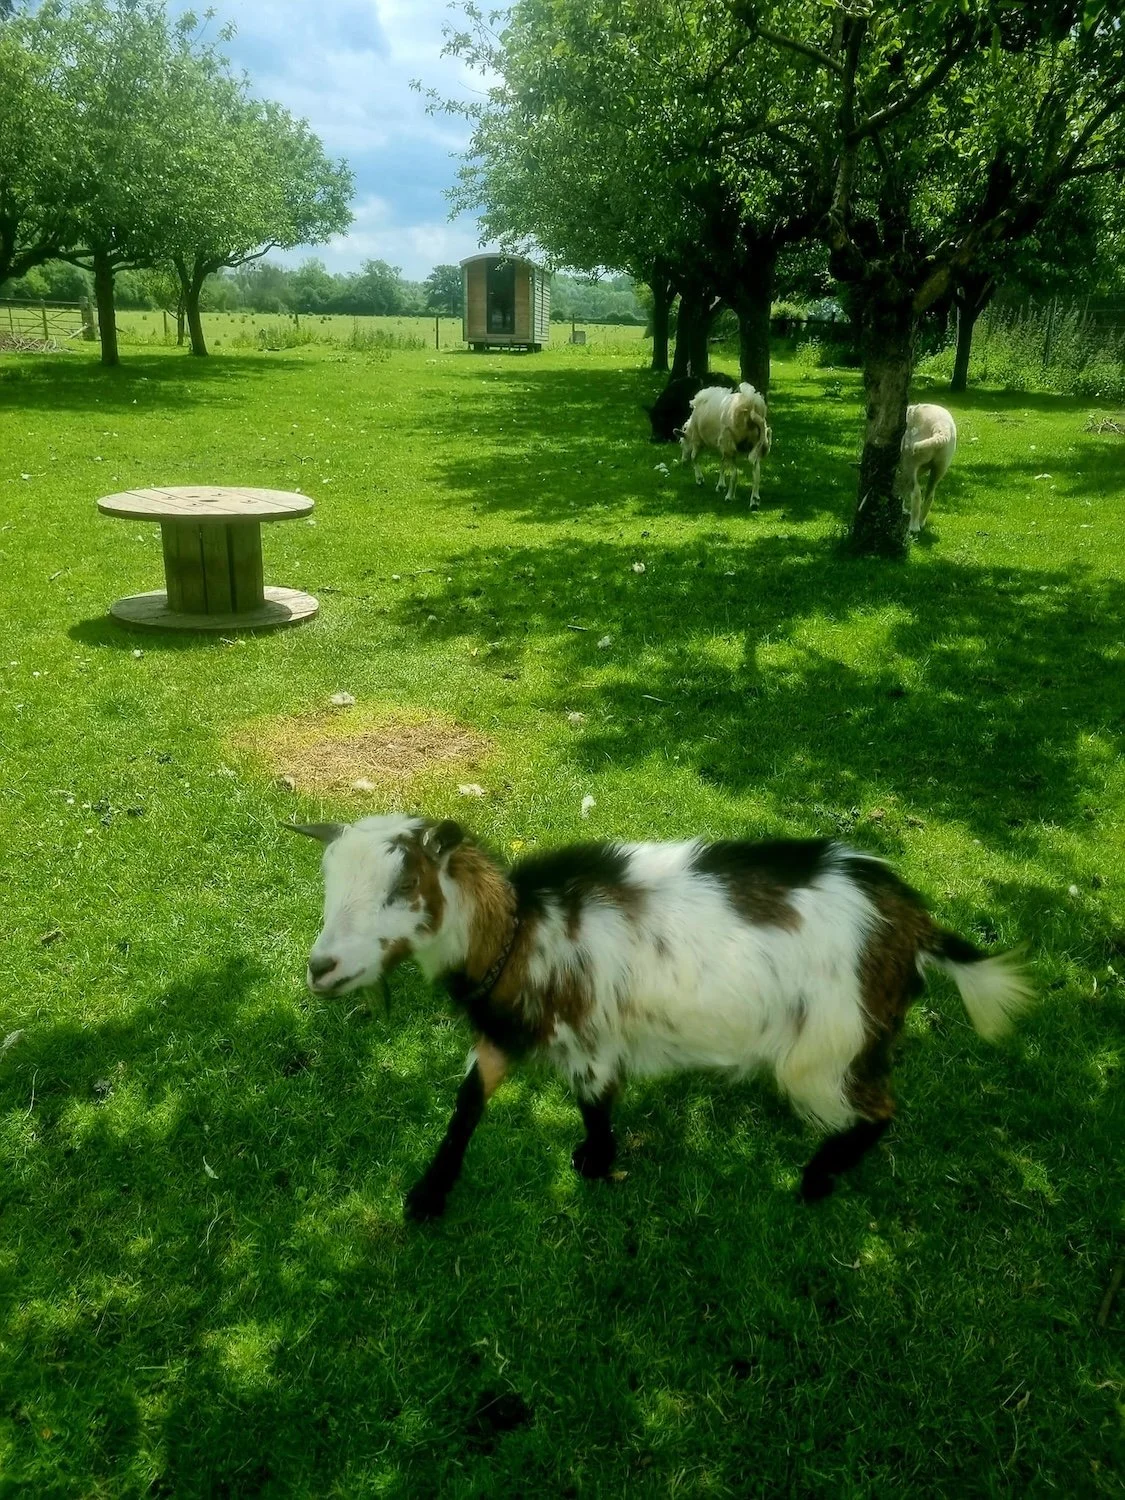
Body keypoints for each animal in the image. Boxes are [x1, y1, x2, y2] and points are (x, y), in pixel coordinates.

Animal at [291, 815, 1033, 1222]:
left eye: (403, 887)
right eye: (327, 883)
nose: (320, 967)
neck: (524, 930)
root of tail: (914, 924)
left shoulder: (588, 1039)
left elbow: (594, 1105)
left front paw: (594, 1163)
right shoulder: (500, 1035)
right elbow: (466, 1105)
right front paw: (427, 1195)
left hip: (832, 1046)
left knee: (877, 1110)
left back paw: (818, 1177)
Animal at [899, 403, 957, 533]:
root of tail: (941, 429)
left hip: (911, 460)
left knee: (916, 493)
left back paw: (914, 527)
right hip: (941, 465)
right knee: (930, 495)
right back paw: (921, 522)